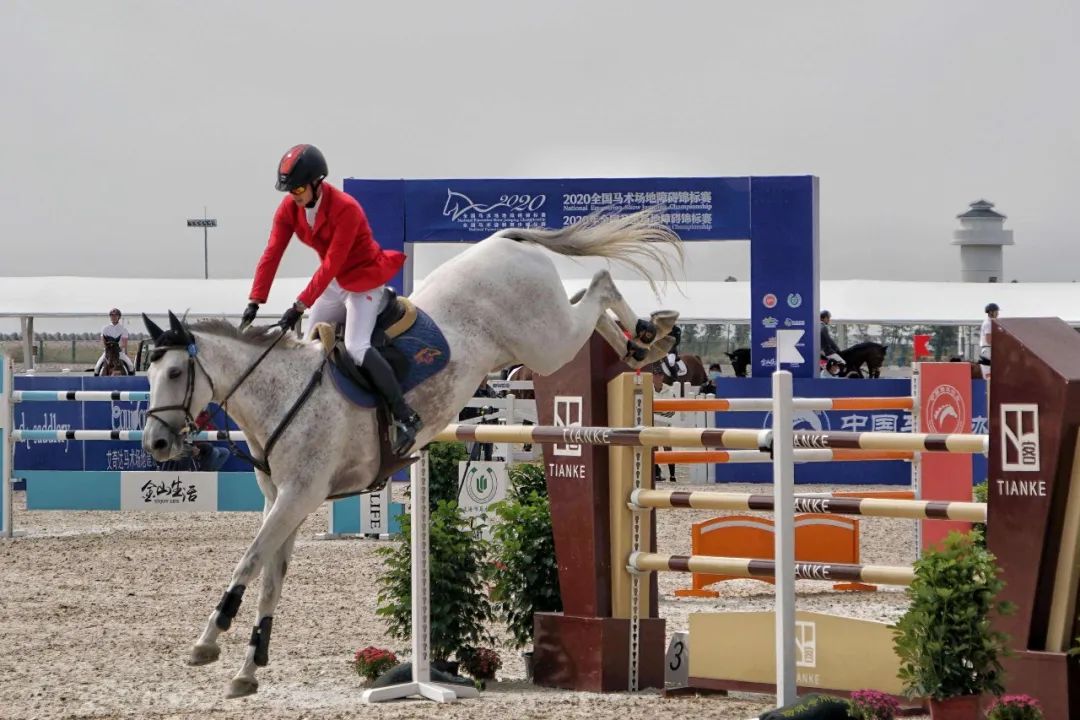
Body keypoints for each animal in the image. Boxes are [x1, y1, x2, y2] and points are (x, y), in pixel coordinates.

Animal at [139, 209, 678, 699]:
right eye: (149, 372)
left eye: (174, 373)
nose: (155, 444)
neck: (282, 393)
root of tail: (504, 239)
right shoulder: (283, 502)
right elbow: (271, 578)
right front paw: (248, 670)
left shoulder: (298, 496)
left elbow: (248, 563)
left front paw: (207, 643)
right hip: (545, 339)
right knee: (588, 304)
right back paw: (638, 348)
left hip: (546, 345)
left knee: (599, 286)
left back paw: (652, 332)